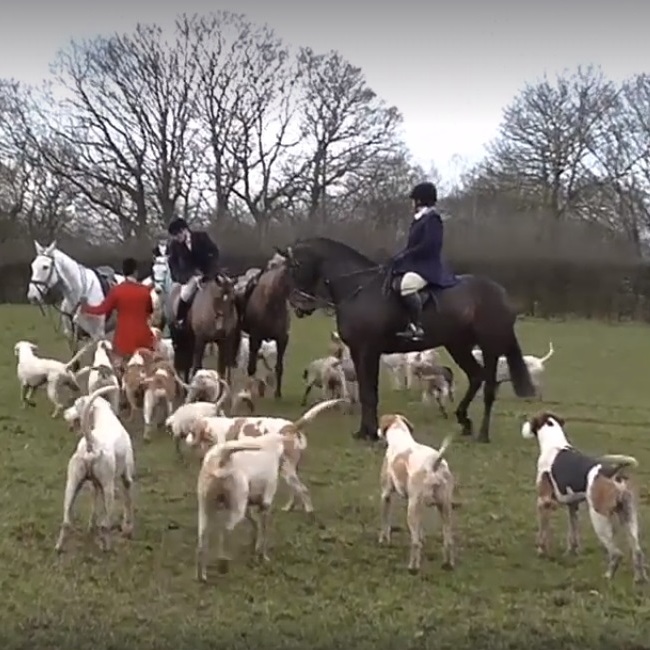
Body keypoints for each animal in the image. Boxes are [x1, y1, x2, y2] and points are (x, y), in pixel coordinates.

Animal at [234, 252, 290, 394]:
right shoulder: (255, 337)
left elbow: (279, 367)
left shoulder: (282, 339)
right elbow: (251, 367)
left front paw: (278, 393)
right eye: (272, 264)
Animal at [276, 235, 536, 442]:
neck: (358, 288)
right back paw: (464, 421)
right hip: (458, 345)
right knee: (476, 376)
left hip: (489, 347)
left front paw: (371, 434)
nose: (299, 306)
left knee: (489, 386)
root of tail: (501, 293)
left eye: (295, 266)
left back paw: (482, 434)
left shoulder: (369, 350)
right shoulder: (359, 351)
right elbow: (366, 391)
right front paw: (364, 432)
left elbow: (369, 393)